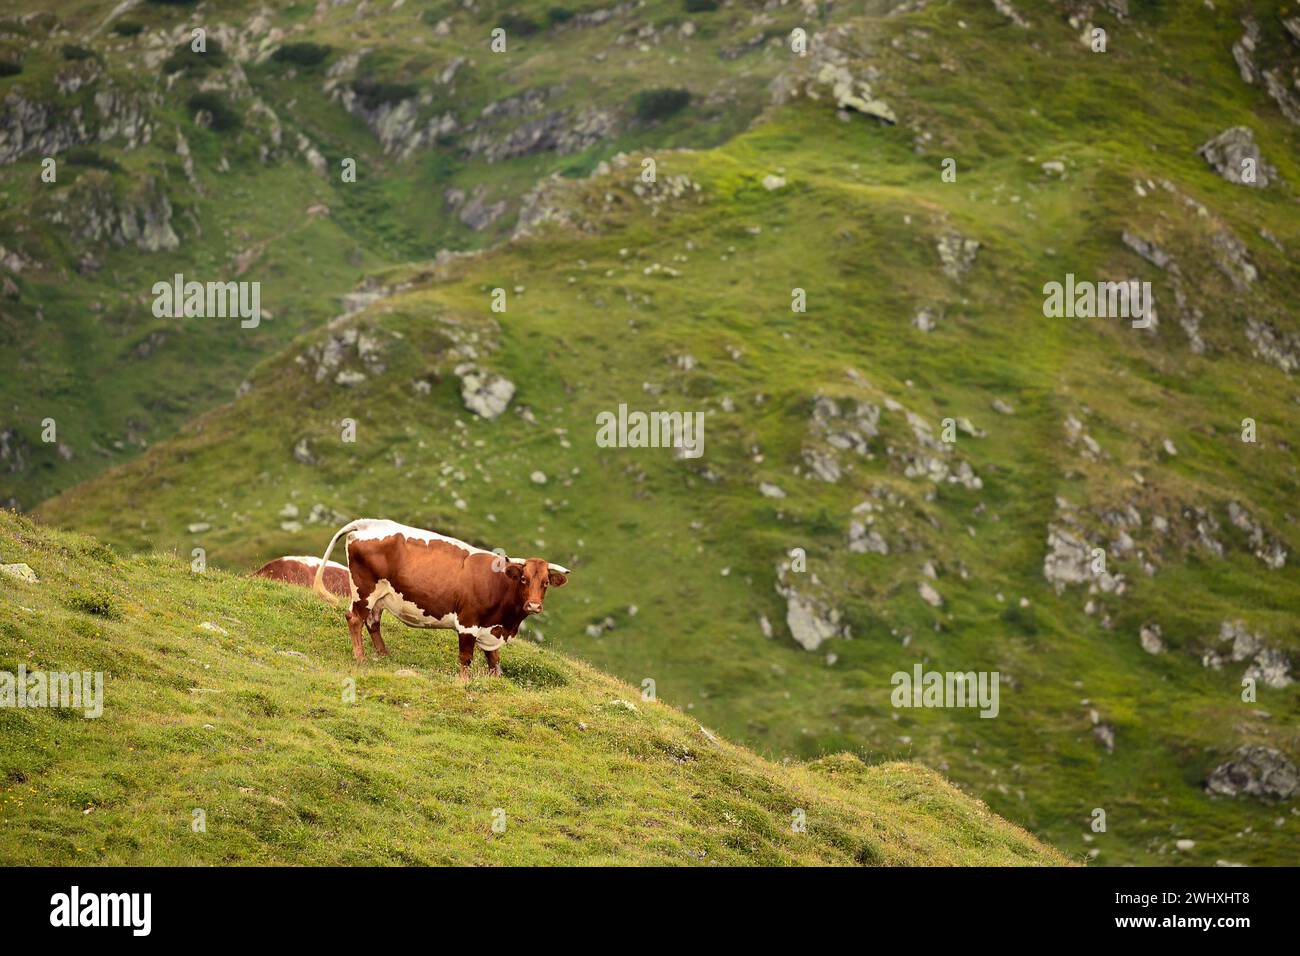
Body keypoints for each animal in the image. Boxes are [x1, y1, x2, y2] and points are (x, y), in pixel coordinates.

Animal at [312, 515, 566, 681]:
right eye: (523, 579)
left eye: (545, 583)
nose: (534, 605)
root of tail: (368, 523)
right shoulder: (468, 623)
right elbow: (465, 658)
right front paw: (464, 682)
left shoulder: (491, 630)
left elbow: (494, 661)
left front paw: (495, 683)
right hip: (364, 590)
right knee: (354, 619)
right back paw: (361, 658)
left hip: (381, 595)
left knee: (372, 622)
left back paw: (384, 655)